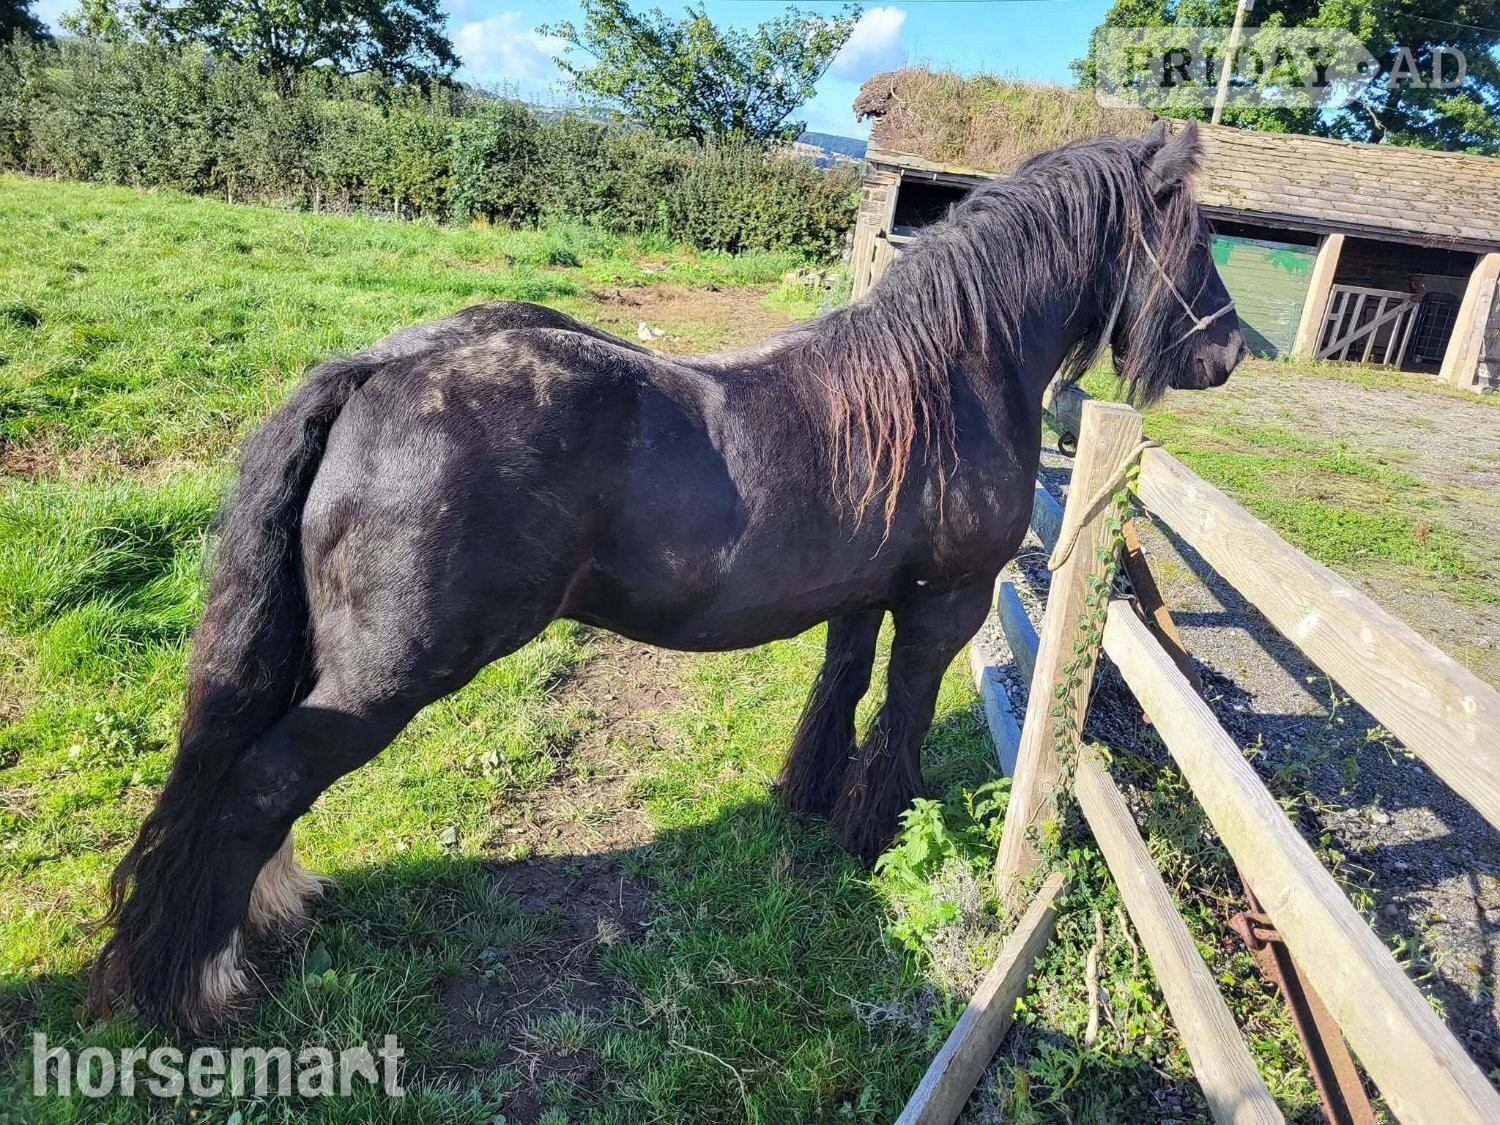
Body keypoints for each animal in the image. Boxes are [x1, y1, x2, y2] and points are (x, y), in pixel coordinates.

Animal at [91, 120, 1243, 1035]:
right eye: (1197, 238)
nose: (1228, 352)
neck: (950, 371)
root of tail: (377, 368)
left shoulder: (860, 603)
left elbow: (839, 692)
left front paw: (807, 804)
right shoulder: (939, 609)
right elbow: (900, 718)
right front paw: (872, 835)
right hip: (380, 682)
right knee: (258, 788)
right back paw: (209, 979)